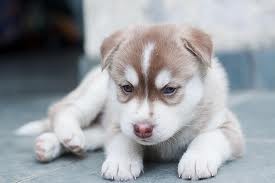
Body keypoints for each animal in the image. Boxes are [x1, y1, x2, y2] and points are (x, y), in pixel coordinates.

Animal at [16, 24, 246, 180]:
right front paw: (121, 163)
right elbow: (124, 139)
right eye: (127, 88)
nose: (142, 129)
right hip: (95, 93)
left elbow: (209, 137)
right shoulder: (119, 124)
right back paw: (68, 136)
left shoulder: (227, 125)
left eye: (169, 89)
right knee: (62, 108)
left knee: (92, 135)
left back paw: (50, 144)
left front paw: (196, 160)